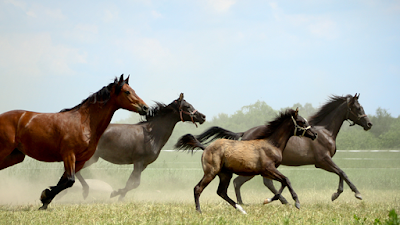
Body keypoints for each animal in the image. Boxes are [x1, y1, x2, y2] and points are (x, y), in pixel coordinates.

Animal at [0, 74, 148, 209]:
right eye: (127, 92)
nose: (145, 108)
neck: (84, 123)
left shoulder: (80, 160)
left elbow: (63, 181)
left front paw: (45, 200)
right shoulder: (69, 155)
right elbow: (69, 181)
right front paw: (45, 196)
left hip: (16, 156)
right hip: (5, 151)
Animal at [76, 93, 206, 200]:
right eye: (188, 106)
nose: (203, 117)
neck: (151, 134)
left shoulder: (143, 164)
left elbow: (130, 183)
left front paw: (120, 198)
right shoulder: (138, 161)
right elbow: (135, 183)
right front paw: (114, 193)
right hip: (90, 158)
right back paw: (85, 192)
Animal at [174, 108, 316, 214]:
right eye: (301, 121)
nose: (314, 134)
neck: (271, 144)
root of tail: (206, 147)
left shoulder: (267, 172)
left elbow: (282, 183)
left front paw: (267, 200)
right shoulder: (269, 169)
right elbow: (286, 180)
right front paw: (297, 203)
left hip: (225, 174)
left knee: (221, 192)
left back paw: (241, 209)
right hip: (211, 172)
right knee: (198, 188)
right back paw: (199, 211)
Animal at [195, 92, 374, 204]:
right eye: (358, 108)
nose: (369, 124)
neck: (324, 132)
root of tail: (245, 133)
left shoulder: (324, 162)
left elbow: (340, 174)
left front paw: (335, 195)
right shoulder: (323, 161)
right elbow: (343, 172)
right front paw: (356, 194)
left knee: (246, 182)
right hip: (253, 169)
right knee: (249, 182)